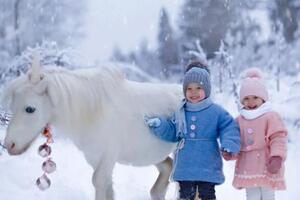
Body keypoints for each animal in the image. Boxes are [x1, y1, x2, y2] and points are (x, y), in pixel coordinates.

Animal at [1, 57, 183, 199]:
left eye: (30, 109)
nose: (9, 145)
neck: (92, 111)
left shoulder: (108, 156)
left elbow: (99, 182)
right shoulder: (95, 158)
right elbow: (108, 187)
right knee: (166, 169)